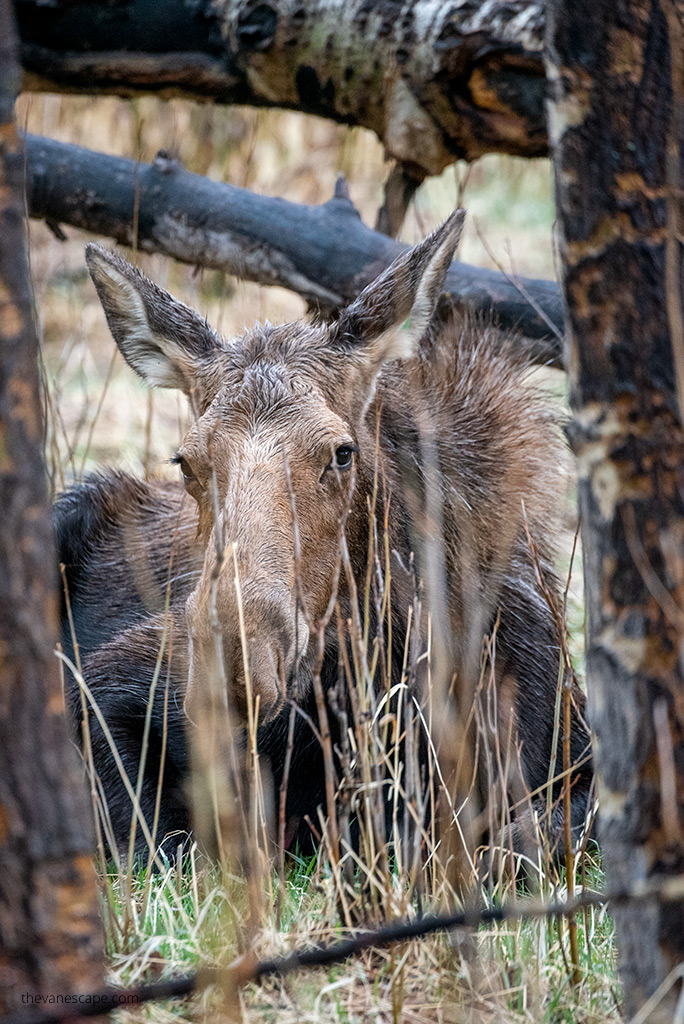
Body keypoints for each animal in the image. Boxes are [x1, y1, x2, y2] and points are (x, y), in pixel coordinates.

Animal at [55, 211, 594, 866]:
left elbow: (525, 839)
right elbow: (164, 842)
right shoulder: (108, 685)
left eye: (342, 452)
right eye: (186, 462)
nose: (238, 661)